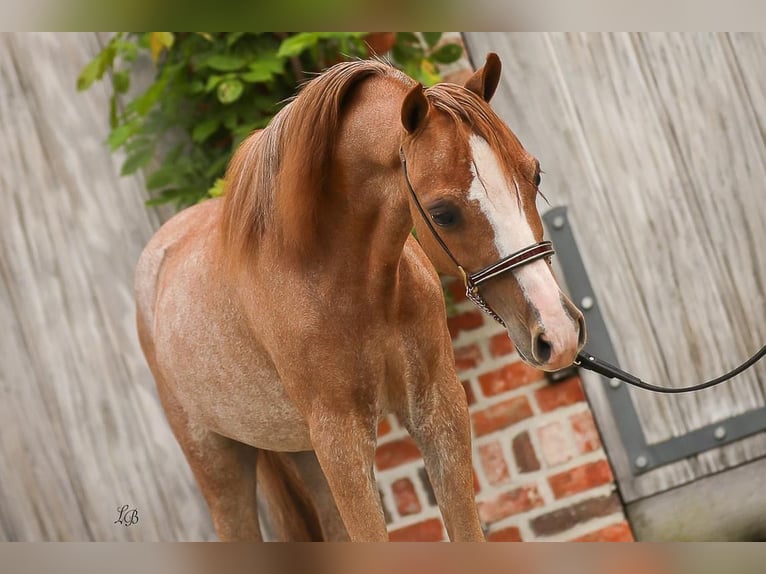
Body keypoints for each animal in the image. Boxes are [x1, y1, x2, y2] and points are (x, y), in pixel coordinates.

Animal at [135, 51, 584, 544]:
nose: (557, 331)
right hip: (220, 463)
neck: (348, 287)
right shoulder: (343, 441)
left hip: (303, 451)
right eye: (443, 213)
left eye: (534, 174)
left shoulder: (438, 409)